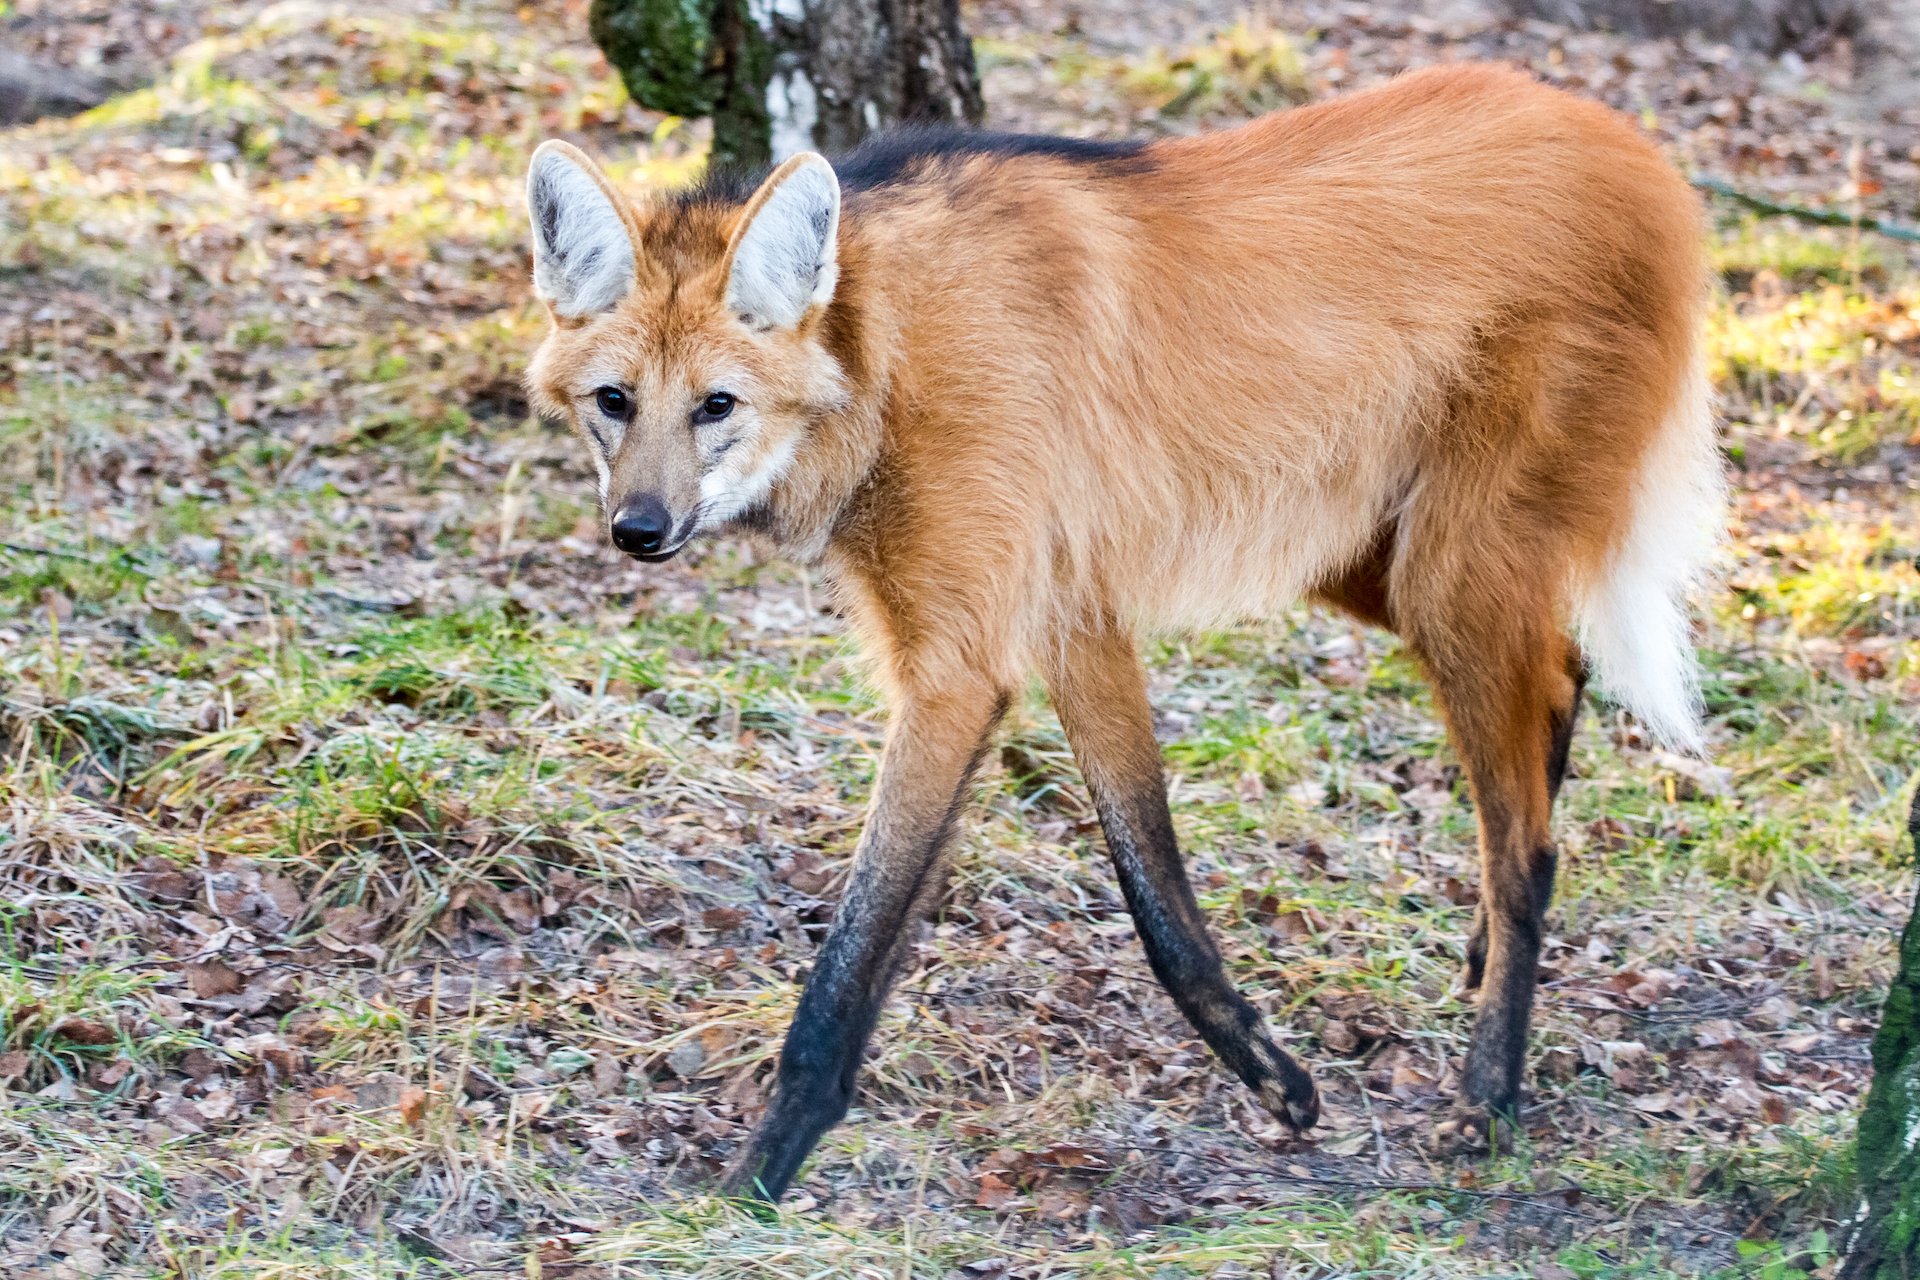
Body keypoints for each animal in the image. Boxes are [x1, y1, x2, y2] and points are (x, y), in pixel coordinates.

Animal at [523, 62, 1724, 1202]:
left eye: (716, 406)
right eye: (615, 402)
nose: (638, 529)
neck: (884, 348)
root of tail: (1641, 157)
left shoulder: (961, 667)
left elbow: (856, 951)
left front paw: (757, 1181)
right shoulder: (1071, 618)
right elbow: (1154, 893)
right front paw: (1276, 1077)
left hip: (1442, 565)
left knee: (1528, 841)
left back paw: (1488, 1097)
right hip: (1370, 553)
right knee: (1560, 678)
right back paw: (1478, 958)